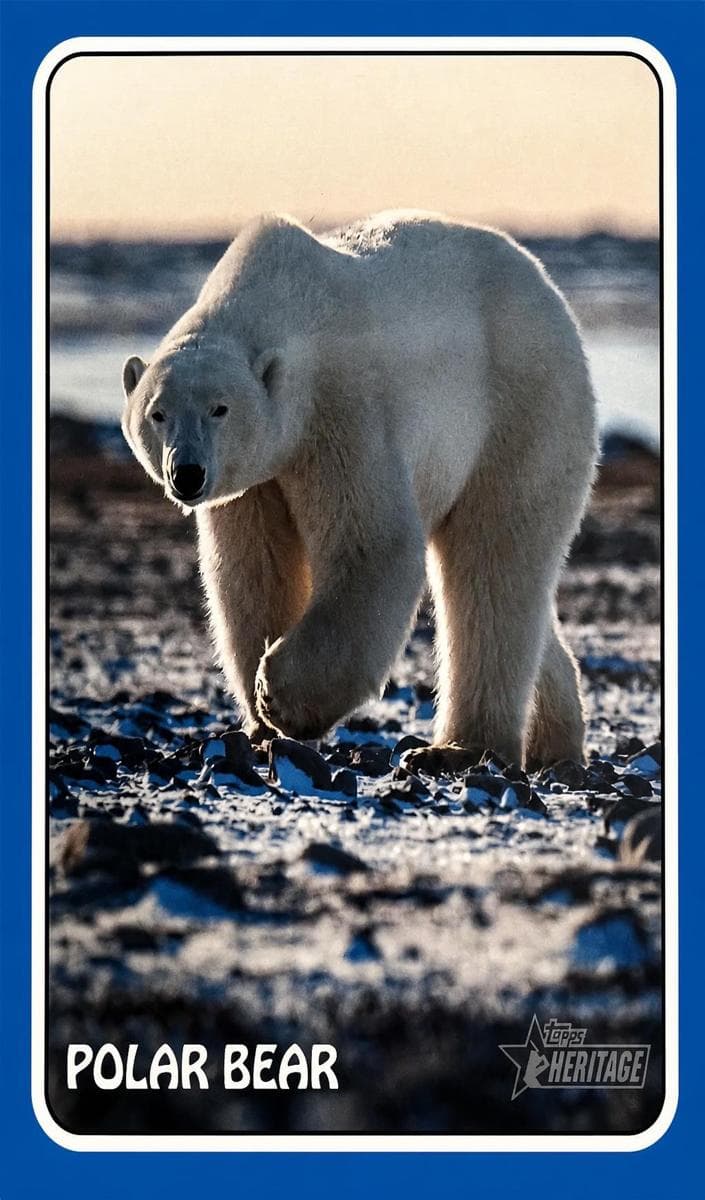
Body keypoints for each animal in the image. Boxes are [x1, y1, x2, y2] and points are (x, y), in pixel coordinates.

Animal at [121, 211, 597, 770]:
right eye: (158, 413)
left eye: (220, 408)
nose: (188, 473)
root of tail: (548, 291)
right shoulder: (254, 480)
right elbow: (252, 569)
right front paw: (260, 723)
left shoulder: (342, 409)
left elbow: (372, 547)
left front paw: (278, 695)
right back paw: (554, 740)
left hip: (522, 405)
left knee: (492, 559)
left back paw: (461, 747)